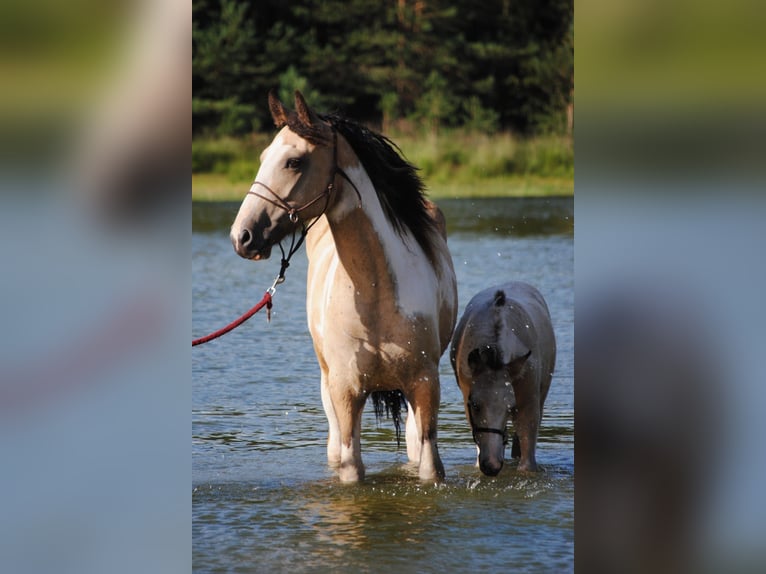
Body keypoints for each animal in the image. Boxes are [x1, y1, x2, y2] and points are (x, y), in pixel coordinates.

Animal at [230, 91, 458, 482]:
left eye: (294, 161)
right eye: (262, 158)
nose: (241, 236)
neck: (375, 295)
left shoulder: (425, 384)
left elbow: (429, 464)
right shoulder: (345, 389)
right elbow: (351, 465)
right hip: (328, 388)